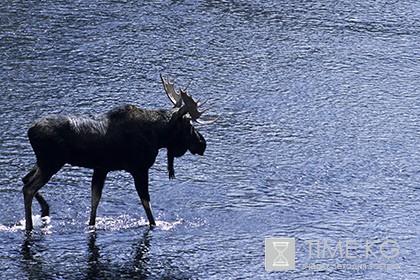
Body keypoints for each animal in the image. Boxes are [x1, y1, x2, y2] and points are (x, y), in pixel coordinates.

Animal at [21, 74, 218, 230]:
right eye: (189, 125)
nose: (202, 144)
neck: (158, 136)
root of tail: (30, 130)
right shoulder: (139, 168)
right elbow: (146, 203)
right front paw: (154, 224)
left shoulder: (101, 168)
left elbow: (95, 200)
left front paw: (92, 224)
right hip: (52, 162)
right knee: (28, 188)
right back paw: (30, 225)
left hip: (43, 162)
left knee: (25, 179)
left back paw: (44, 210)